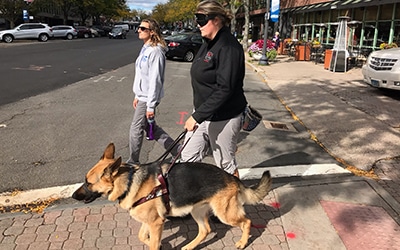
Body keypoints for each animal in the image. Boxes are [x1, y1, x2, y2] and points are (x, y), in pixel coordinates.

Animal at [72, 143, 272, 250]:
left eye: (88, 183)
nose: (73, 196)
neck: (129, 182)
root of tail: (231, 177)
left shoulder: (155, 223)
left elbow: (151, 242)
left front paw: (157, 245)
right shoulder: (151, 222)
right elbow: (141, 236)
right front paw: (160, 244)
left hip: (225, 214)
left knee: (246, 222)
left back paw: (242, 242)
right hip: (197, 211)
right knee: (205, 230)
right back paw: (190, 246)